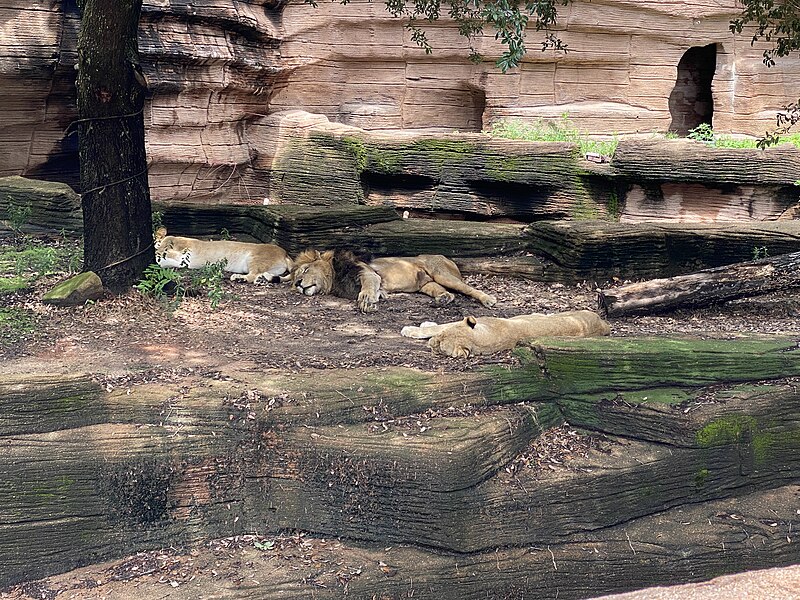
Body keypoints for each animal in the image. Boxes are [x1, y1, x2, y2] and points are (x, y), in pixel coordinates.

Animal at [155, 227, 292, 284]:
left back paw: (239, 278)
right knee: (260, 275)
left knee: (253, 274)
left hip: (255, 259)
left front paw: (160, 250)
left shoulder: (185, 250)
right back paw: (260, 280)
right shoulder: (182, 262)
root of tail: (285, 252)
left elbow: (166, 246)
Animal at [290, 250, 496, 314]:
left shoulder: (368, 273)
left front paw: (367, 301)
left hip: (442, 274)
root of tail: (446, 257)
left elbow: (367, 287)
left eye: (305, 270)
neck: (334, 280)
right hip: (426, 284)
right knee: (447, 293)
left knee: (468, 288)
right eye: (294, 282)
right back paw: (443, 298)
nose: (299, 283)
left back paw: (488, 299)